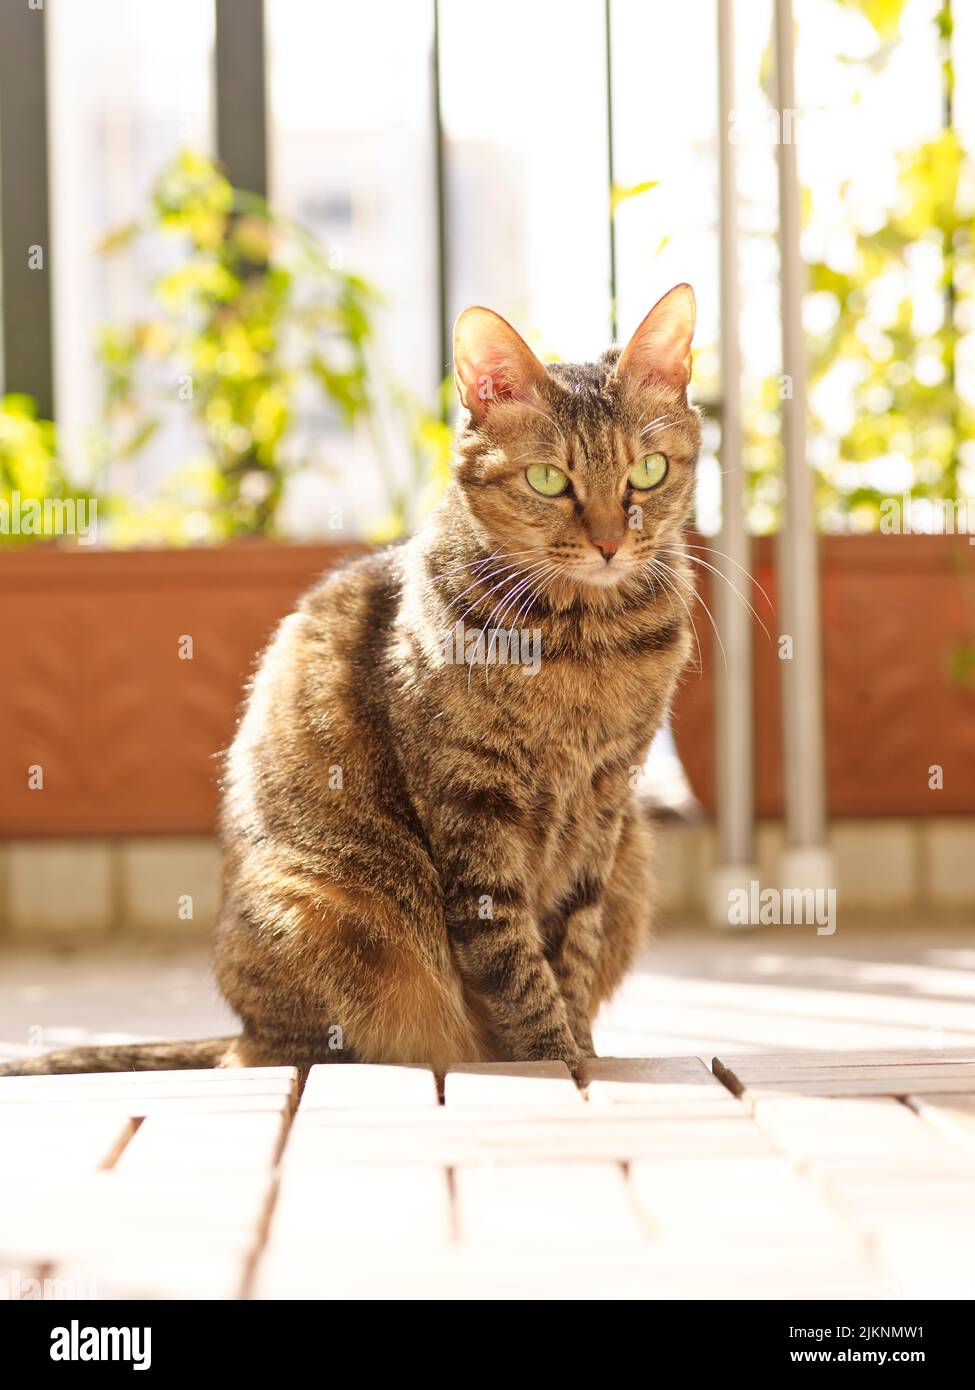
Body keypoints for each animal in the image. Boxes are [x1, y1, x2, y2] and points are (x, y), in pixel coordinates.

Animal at [0, 282, 700, 1078]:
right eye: (549, 480)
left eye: (647, 471)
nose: (611, 543)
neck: (586, 643)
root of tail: (240, 1029)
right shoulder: (474, 805)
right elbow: (513, 964)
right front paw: (554, 1058)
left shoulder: (607, 802)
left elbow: (572, 946)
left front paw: (580, 1050)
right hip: (322, 901)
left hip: (634, 857)